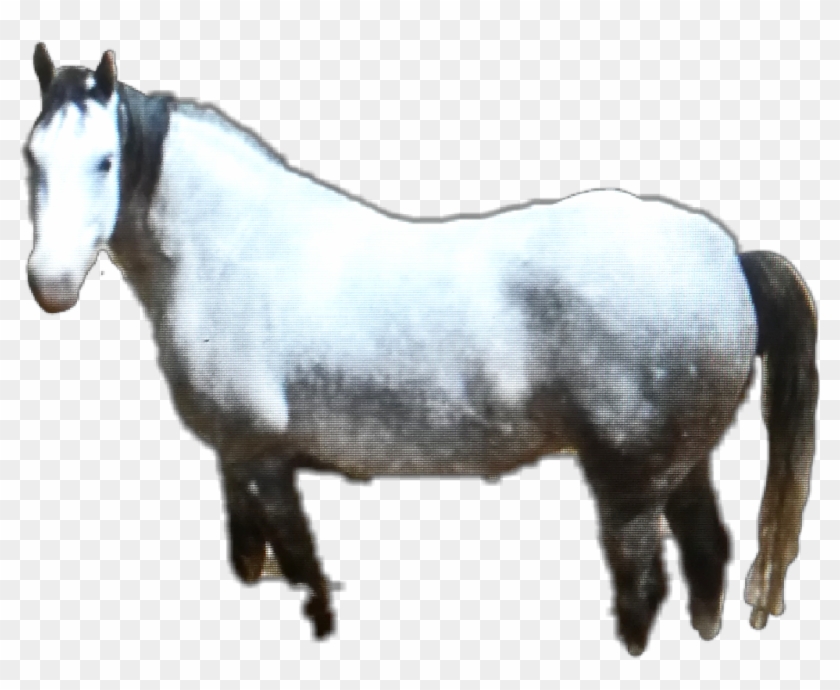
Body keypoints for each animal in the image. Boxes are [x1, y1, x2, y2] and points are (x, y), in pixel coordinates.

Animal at [24, 44, 818, 656]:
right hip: (679, 465)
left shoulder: (266, 456)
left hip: (630, 479)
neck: (230, 253)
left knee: (644, 587)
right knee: (707, 556)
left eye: (105, 161)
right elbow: (252, 557)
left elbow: (302, 564)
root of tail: (727, 258)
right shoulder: (235, 456)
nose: (49, 284)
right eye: (31, 156)